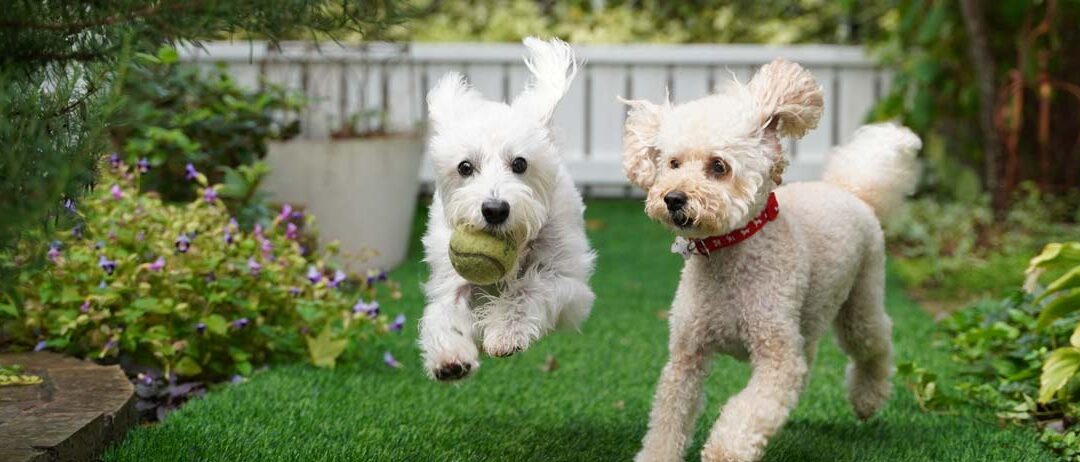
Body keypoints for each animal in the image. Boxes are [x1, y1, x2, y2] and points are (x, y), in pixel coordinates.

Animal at [416, 37, 596, 379]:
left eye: (520, 163)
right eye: (465, 167)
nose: (495, 209)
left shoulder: (570, 283)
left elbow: (531, 288)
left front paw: (506, 332)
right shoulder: (450, 279)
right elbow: (444, 312)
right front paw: (450, 357)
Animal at [626, 58, 920, 462]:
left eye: (718, 166)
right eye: (673, 163)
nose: (672, 198)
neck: (730, 255)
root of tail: (851, 190)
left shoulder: (776, 357)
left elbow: (748, 411)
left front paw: (725, 451)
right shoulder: (687, 354)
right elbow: (668, 417)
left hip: (861, 300)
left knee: (876, 342)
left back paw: (868, 398)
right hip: (808, 317)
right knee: (810, 358)